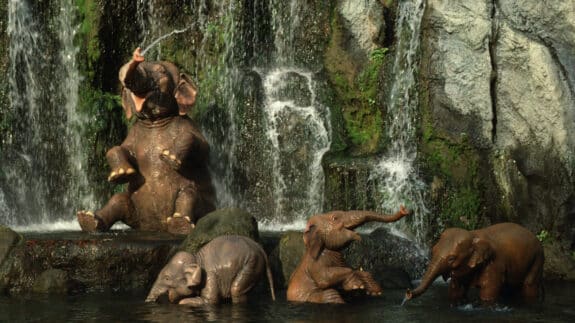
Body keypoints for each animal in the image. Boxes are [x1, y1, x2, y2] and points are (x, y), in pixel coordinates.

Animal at [77, 47, 217, 235]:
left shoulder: (189, 125)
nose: (137, 55)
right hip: (134, 210)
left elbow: (203, 148)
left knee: (189, 194)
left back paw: (180, 225)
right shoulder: (134, 133)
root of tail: (154, 226)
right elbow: (120, 148)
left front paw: (169, 158)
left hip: (204, 206)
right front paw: (121, 174)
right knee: (119, 199)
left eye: (161, 71)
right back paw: (88, 220)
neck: (154, 121)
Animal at [146, 235, 276, 306]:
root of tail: (260, 248)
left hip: (251, 264)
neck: (196, 259)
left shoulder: (210, 276)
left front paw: (182, 302)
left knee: (236, 290)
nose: (149, 301)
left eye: (167, 278)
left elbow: (210, 301)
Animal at [404, 223, 544, 306]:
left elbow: (488, 290)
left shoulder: (494, 263)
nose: (408, 293)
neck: (473, 234)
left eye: (451, 258)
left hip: (537, 258)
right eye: (433, 250)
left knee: (529, 284)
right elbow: (456, 289)